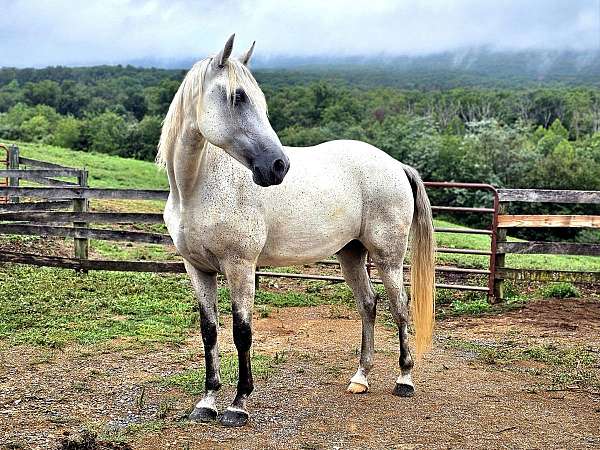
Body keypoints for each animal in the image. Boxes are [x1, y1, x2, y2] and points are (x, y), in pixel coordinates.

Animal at [157, 34, 434, 426]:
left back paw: (405, 379)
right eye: (238, 97)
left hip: (388, 258)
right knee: (369, 305)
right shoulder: (198, 269)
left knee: (400, 308)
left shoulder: (240, 267)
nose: (278, 166)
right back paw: (360, 378)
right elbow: (209, 332)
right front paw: (207, 401)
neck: (198, 187)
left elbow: (242, 332)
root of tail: (395, 164)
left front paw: (238, 404)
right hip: (351, 255)